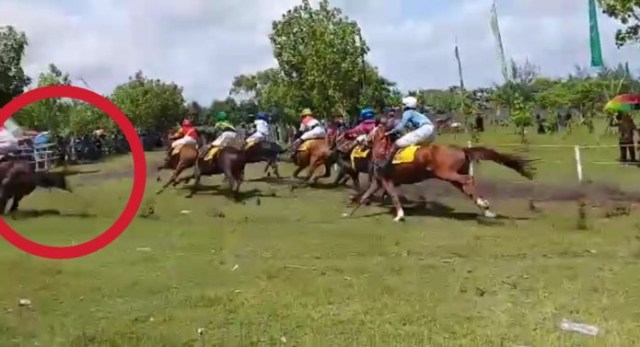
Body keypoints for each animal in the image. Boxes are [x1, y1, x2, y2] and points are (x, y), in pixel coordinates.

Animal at [344, 125, 536, 223]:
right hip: (452, 177)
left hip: (447, 173)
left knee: (469, 180)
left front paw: (399, 215)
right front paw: (348, 214)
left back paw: (484, 204)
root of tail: (462, 149)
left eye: (368, 131)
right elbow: (363, 197)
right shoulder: (377, 181)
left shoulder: (387, 180)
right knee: (467, 186)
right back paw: (487, 210)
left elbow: (394, 197)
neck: (382, 152)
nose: (359, 141)